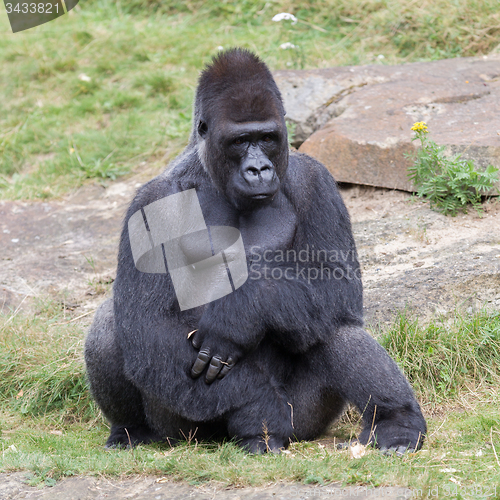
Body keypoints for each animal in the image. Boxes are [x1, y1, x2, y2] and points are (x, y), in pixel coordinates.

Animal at [85, 48, 426, 456]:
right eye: (239, 141)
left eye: (266, 138)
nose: (259, 168)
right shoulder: (150, 202)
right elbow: (147, 322)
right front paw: (257, 407)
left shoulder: (315, 180)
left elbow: (335, 283)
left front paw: (238, 313)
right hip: (181, 429)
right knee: (111, 324)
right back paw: (132, 430)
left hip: (304, 421)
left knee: (332, 322)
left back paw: (397, 423)